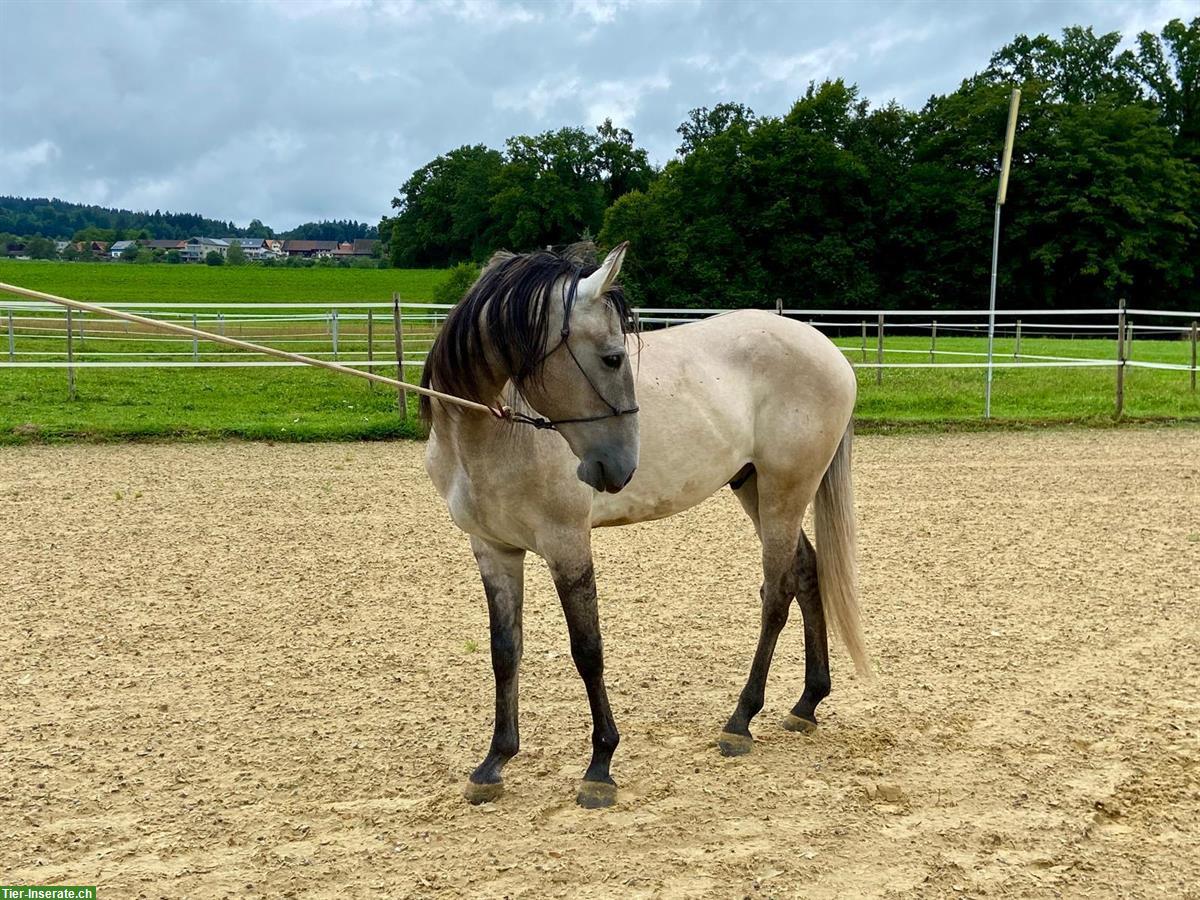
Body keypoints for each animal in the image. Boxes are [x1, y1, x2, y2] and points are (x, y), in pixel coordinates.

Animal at [422, 241, 864, 811]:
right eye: (612, 357)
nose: (620, 466)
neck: (488, 434)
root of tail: (827, 349)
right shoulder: (493, 549)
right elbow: (505, 652)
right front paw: (494, 762)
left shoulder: (567, 543)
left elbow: (587, 650)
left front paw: (600, 766)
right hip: (755, 488)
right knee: (808, 573)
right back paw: (807, 703)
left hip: (786, 490)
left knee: (778, 593)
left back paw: (740, 721)